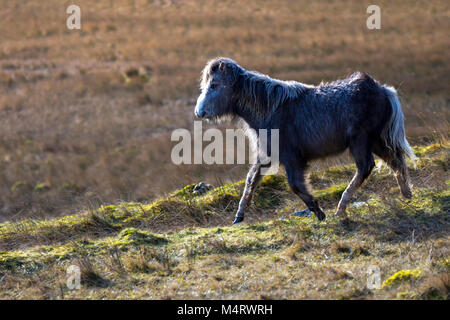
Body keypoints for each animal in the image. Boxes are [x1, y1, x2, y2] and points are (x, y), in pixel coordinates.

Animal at [193, 57, 414, 224]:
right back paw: (407, 195)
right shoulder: (266, 156)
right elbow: (251, 180)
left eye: (214, 85)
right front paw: (238, 216)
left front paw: (318, 211)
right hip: (375, 141)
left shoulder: (292, 159)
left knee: (366, 167)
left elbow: (295, 185)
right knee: (395, 160)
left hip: (361, 141)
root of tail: (383, 90)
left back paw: (341, 208)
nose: (199, 112)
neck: (270, 109)